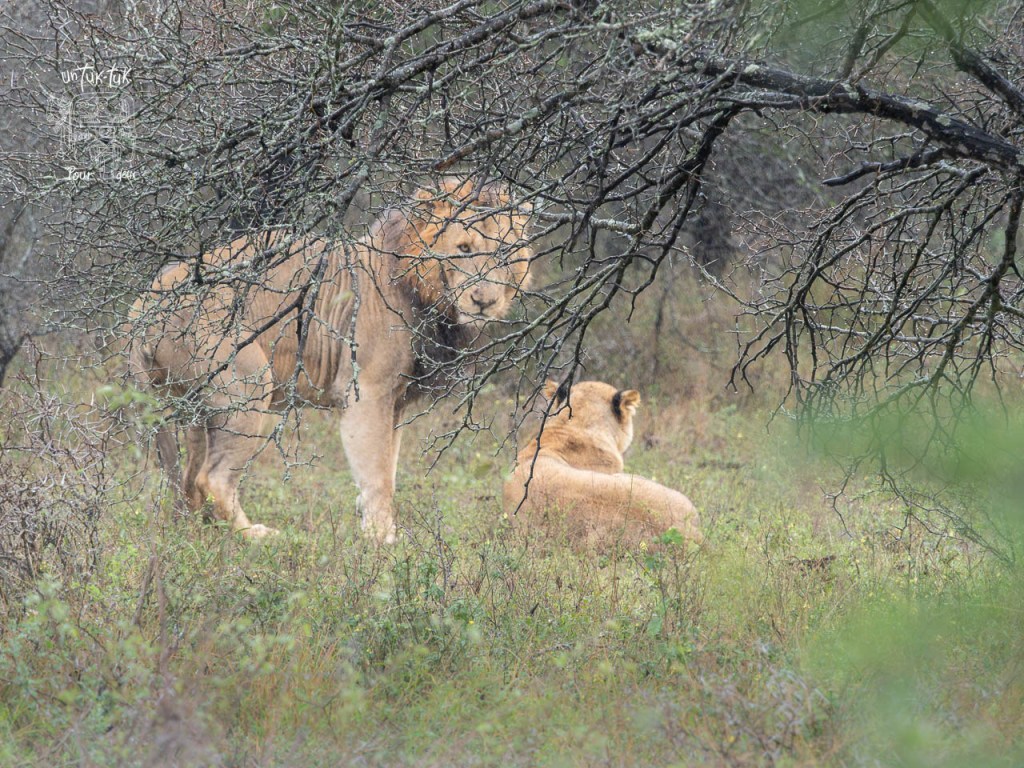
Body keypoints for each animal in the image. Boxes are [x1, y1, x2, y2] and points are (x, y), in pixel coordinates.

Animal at [128, 178, 533, 542]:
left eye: (505, 253)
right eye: (463, 248)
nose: (484, 301)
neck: (427, 294)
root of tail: (146, 301)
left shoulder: (395, 404)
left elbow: (390, 468)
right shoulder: (365, 392)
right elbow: (377, 476)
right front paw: (382, 541)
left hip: (195, 407)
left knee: (187, 481)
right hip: (248, 386)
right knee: (211, 479)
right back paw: (256, 536)